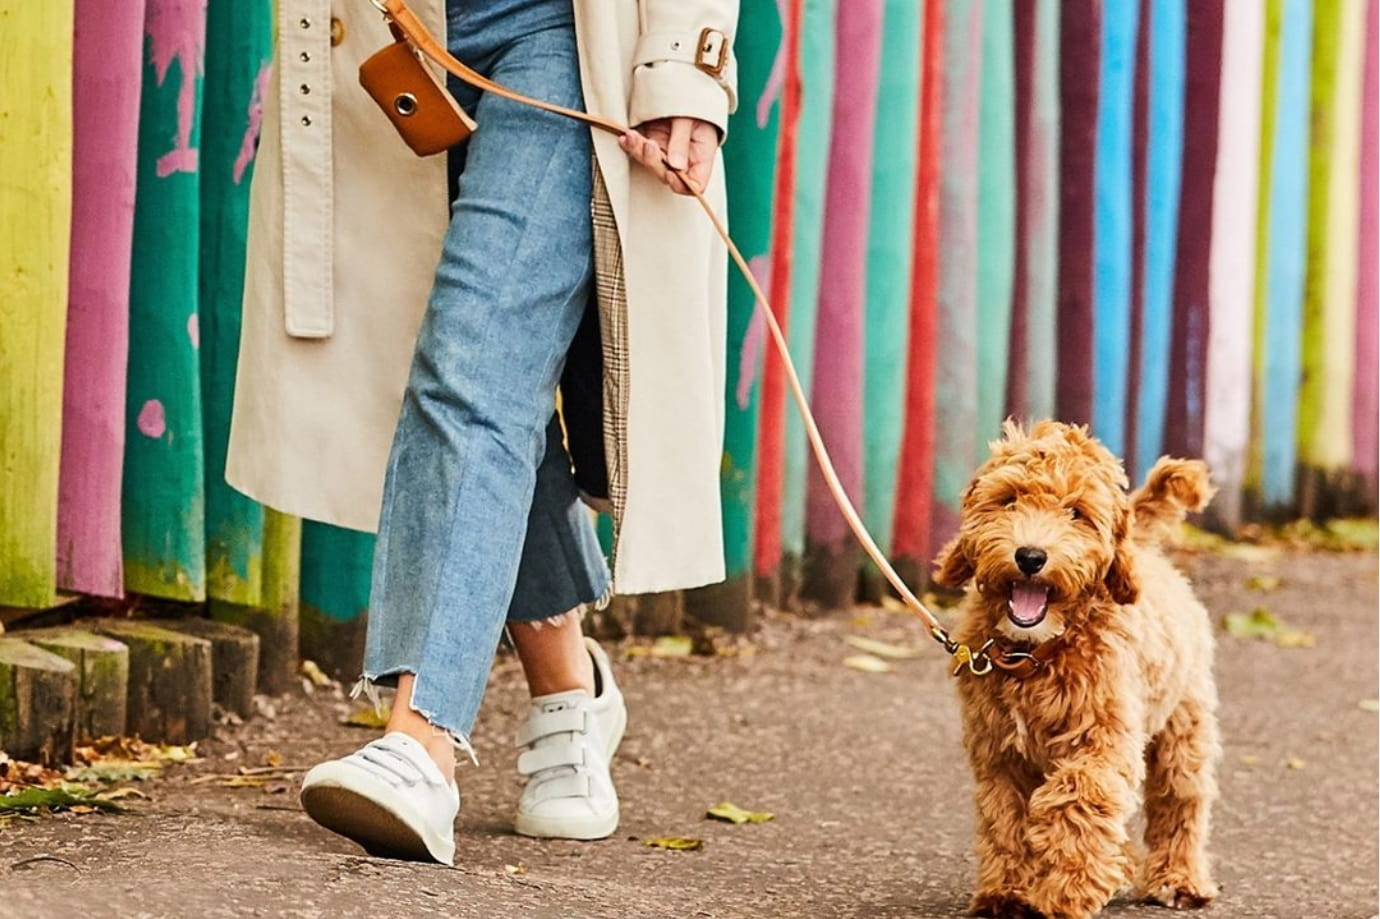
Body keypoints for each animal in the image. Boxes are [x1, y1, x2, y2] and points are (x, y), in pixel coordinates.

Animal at [938, 419, 1219, 916]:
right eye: (1009, 499)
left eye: (1076, 513)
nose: (1030, 556)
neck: (1035, 653)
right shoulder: (998, 752)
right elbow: (1003, 817)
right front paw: (1005, 893)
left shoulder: (1102, 739)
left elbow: (1077, 798)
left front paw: (1065, 891)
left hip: (1184, 726)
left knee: (1180, 800)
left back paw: (1179, 878)